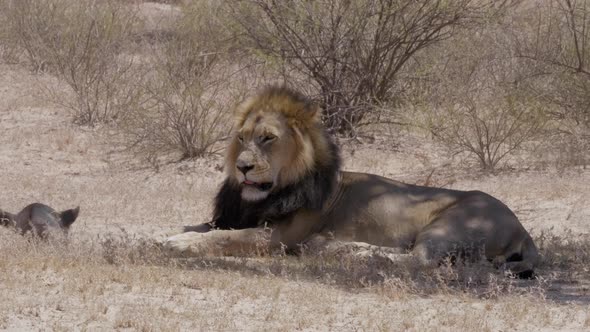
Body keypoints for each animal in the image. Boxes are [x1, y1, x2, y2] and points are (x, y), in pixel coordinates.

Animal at [165, 86, 540, 278]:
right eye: (241, 138)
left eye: (268, 138)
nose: (243, 167)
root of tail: (522, 227)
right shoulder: (235, 217)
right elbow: (205, 227)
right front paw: (170, 233)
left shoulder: (279, 236)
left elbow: (226, 238)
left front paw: (180, 244)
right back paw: (342, 248)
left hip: (448, 224)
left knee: (418, 261)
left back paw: (352, 253)